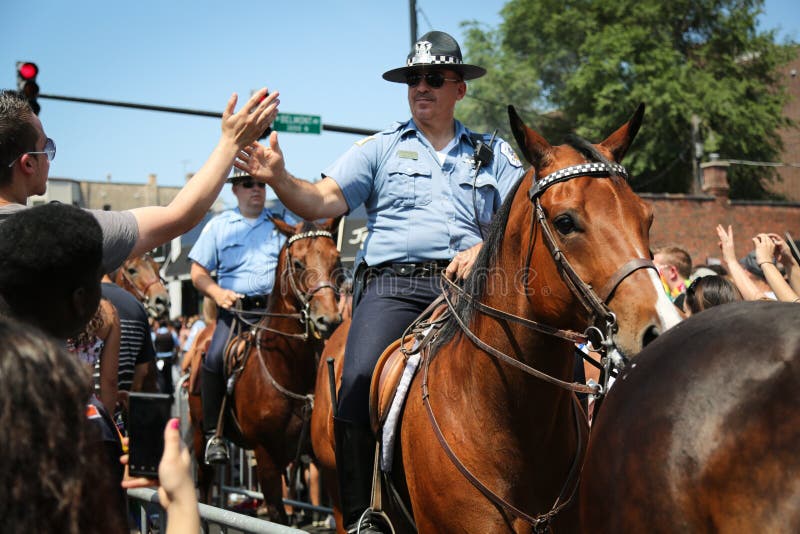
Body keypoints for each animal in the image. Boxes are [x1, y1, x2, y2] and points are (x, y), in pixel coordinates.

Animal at [188, 218, 344, 524]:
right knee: (205, 486)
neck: (288, 371)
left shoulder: (320, 456)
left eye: (337, 259)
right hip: (200, 436)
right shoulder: (267, 458)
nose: (329, 319)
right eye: (297, 263)